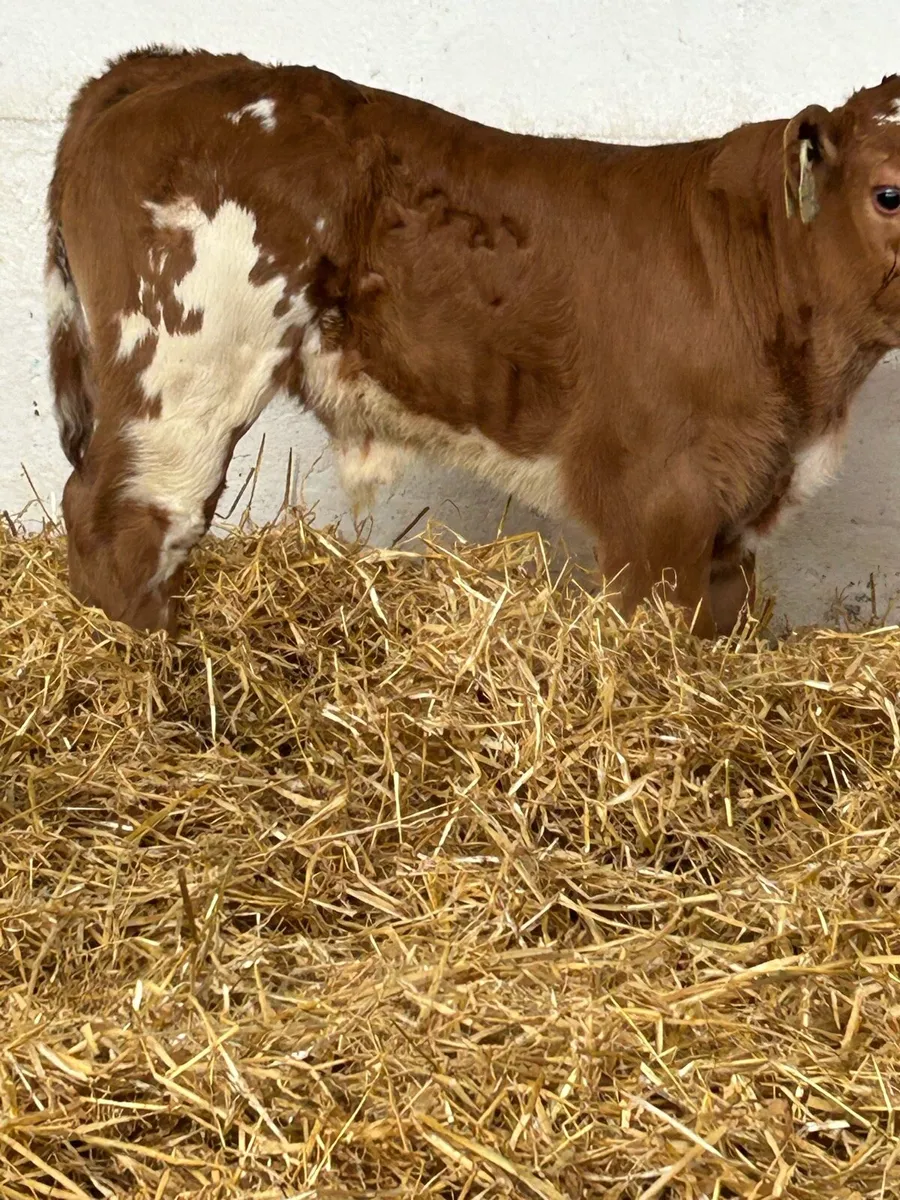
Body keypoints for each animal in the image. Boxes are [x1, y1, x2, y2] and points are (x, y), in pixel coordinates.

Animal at [46, 46, 900, 638]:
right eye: (888, 192)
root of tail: (175, 64)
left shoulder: (732, 517)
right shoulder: (656, 503)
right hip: (185, 364)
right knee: (127, 520)